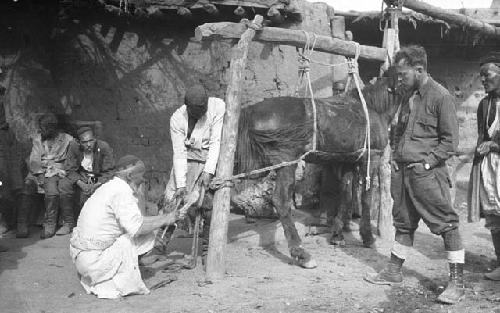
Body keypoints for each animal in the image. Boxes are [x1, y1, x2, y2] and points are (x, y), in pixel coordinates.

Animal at [232, 69, 404, 268]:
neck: (374, 108)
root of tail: (251, 110)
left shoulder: (348, 161)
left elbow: (346, 196)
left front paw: (337, 235)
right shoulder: (371, 158)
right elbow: (366, 198)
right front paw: (367, 237)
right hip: (286, 163)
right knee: (280, 200)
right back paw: (301, 253)